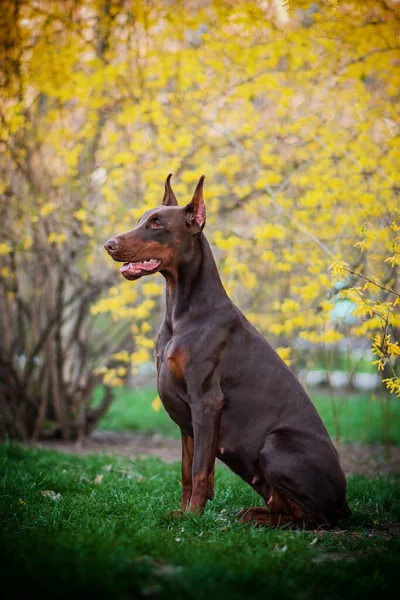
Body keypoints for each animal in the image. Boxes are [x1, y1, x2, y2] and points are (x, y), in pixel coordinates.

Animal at [104, 175, 352, 528]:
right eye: (142, 219)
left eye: (157, 224)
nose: (108, 244)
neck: (181, 311)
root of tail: (344, 503)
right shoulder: (187, 417)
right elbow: (187, 470)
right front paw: (182, 512)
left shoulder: (206, 402)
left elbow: (200, 470)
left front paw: (192, 518)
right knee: (287, 508)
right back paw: (251, 514)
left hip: (276, 444)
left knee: (314, 519)